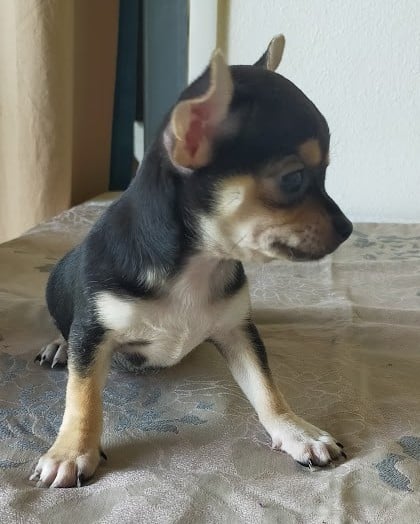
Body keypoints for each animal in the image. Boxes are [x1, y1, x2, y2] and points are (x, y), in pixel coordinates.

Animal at [30, 35, 352, 488]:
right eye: (293, 179)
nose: (347, 229)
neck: (197, 264)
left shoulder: (238, 331)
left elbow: (266, 387)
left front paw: (295, 430)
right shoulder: (92, 335)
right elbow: (83, 396)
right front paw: (71, 452)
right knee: (67, 337)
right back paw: (59, 346)